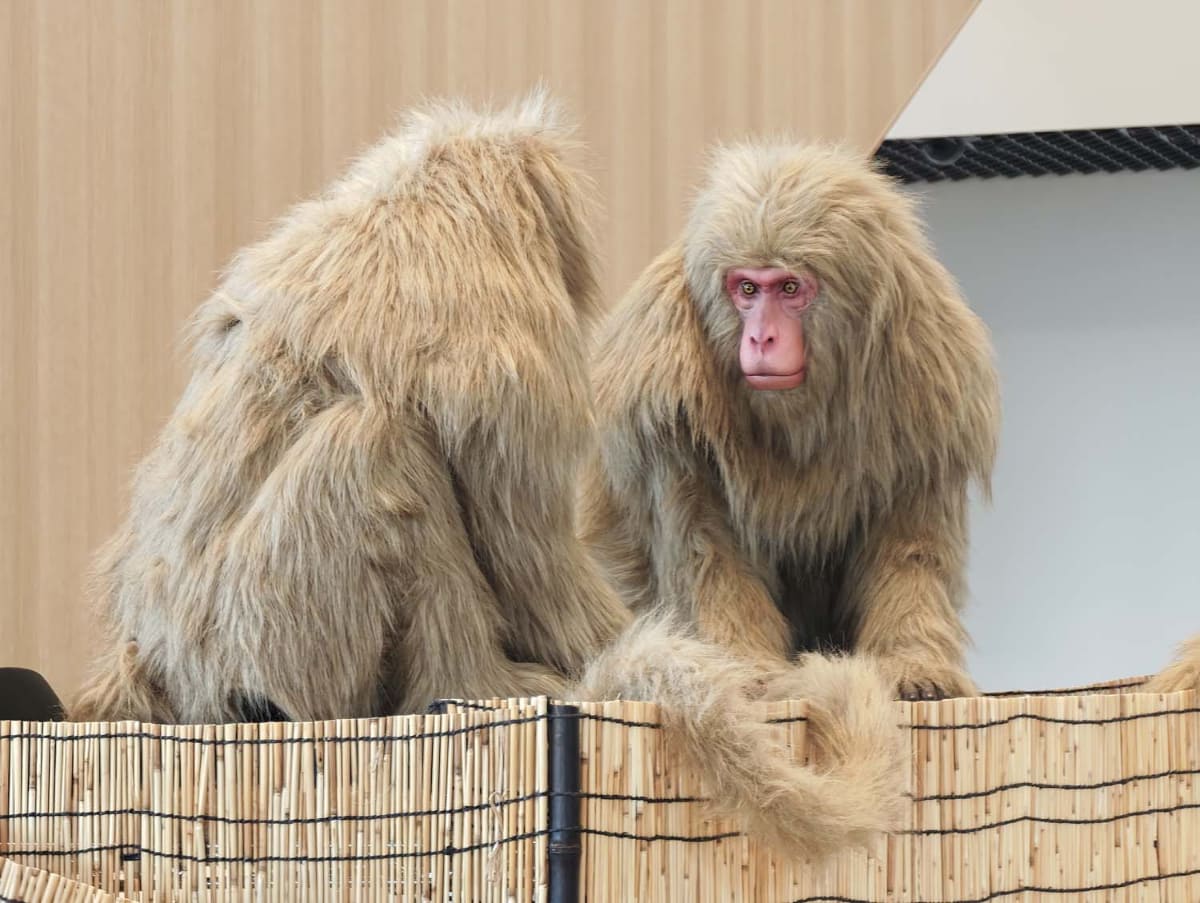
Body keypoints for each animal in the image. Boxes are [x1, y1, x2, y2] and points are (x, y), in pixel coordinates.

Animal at [68, 93, 905, 862]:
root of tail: (160, 666)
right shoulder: (503, 325)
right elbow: (529, 552)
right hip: (274, 636)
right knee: (378, 450)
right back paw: (471, 677)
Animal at [582, 139, 1001, 702]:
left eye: (788, 288)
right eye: (747, 290)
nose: (761, 338)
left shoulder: (928, 369)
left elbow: (910, 546)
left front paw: (913, 661)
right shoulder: (661, 375)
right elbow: (705, 547)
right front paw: (745, 668)